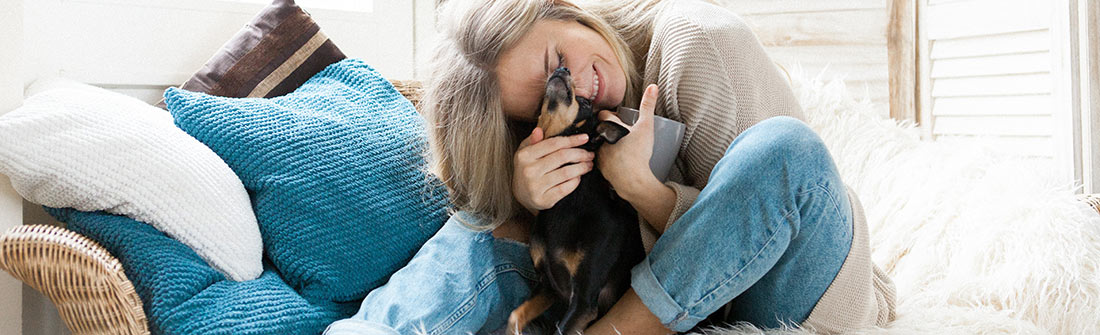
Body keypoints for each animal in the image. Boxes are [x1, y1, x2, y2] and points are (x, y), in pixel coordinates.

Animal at [506, 66, 642, 331]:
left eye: (586, 102)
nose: (562, 68)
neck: (568, 201)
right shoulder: (549, 286)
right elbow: (515, 316)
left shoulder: (583, 303)